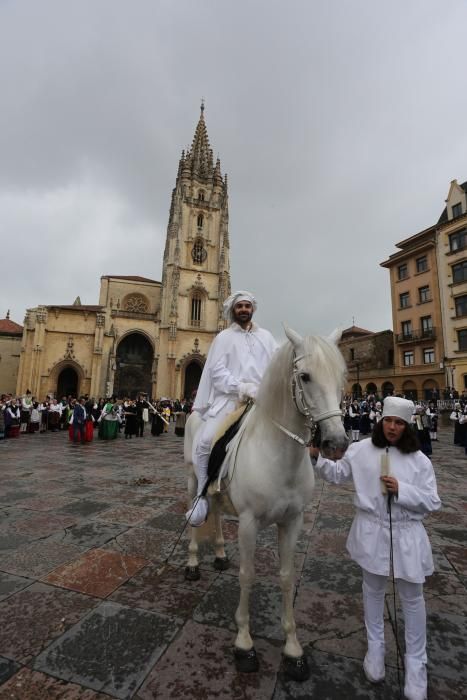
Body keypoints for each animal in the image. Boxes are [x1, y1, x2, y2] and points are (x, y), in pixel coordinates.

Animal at [185, 330, 350, 680]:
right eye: (305, 376)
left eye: (342, 376)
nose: (337, 444)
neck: (280, 456)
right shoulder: (248, 523)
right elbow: (247, 575)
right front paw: (244, 643)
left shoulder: (292, 521)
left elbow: (287, 577)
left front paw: (293, 648)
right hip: (193, 477)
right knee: (196, 513)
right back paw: (192, 563)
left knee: (215, 513)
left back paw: (220, 553)